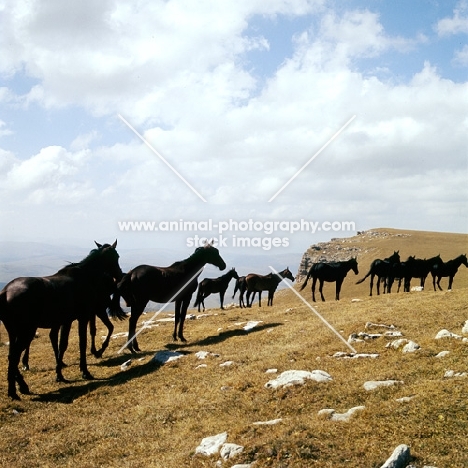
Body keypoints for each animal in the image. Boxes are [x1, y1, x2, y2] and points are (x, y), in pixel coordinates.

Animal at [0, 241, 122, 398]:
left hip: (14, 332)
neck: (85, 277)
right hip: (26, 331)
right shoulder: (82, 318)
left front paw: (59, 374)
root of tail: (5, 291)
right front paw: (85, 371)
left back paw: (21, 386)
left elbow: (62, 344)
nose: (119, 275)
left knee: (11, 356)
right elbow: (82, 343)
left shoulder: (66, 321)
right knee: (14, 356)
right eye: (116, 256)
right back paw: (14, 391)